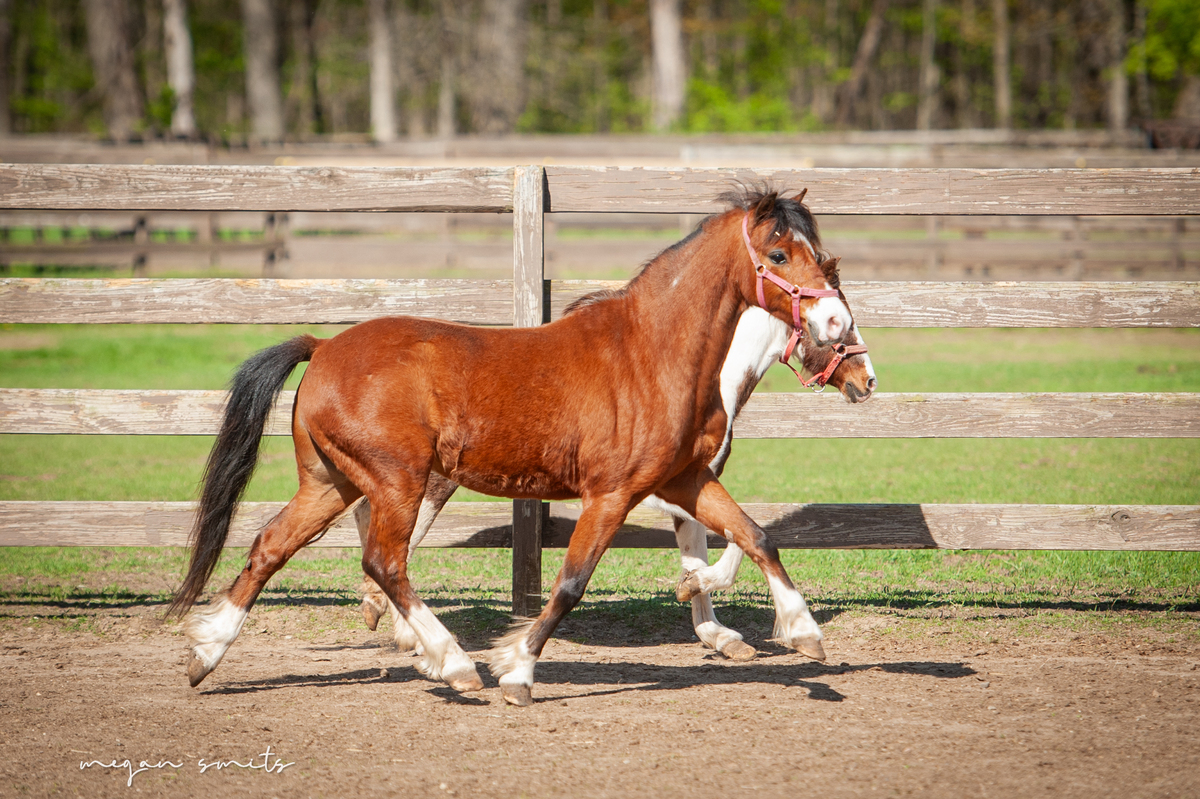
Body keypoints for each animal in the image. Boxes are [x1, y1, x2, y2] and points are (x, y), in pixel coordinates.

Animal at [355, 303, 876, 662]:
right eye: (839, 326)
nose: (868, 381)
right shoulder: (652, 490)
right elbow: (728, 545)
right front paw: (701, 599)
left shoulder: (690, 484)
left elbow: (713, 545)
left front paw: (718, 632)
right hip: (430, 480)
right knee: (395, 539)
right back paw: (403, 629)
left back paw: (386, 617)